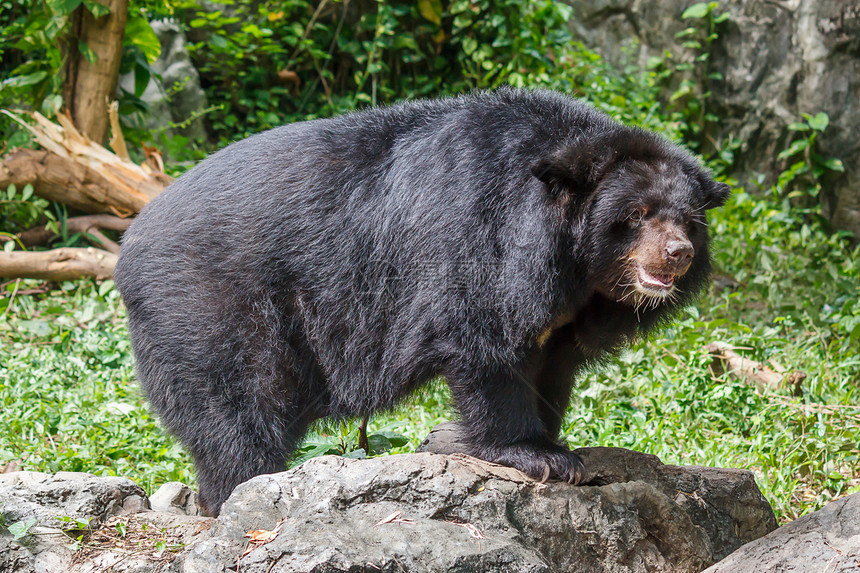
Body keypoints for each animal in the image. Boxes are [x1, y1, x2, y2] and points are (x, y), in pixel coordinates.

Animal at [116, 87, 724, 516]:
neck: (575, 265)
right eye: (638, 215)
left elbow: (551, 363)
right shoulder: (482, 242)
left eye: (687, 218)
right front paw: (538, 454)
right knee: (237, 410)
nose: (678, 254)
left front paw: (554, 442)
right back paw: (235, 493)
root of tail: (129, 243)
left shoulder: (568, 310)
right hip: (208, 305)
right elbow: (485, 343)